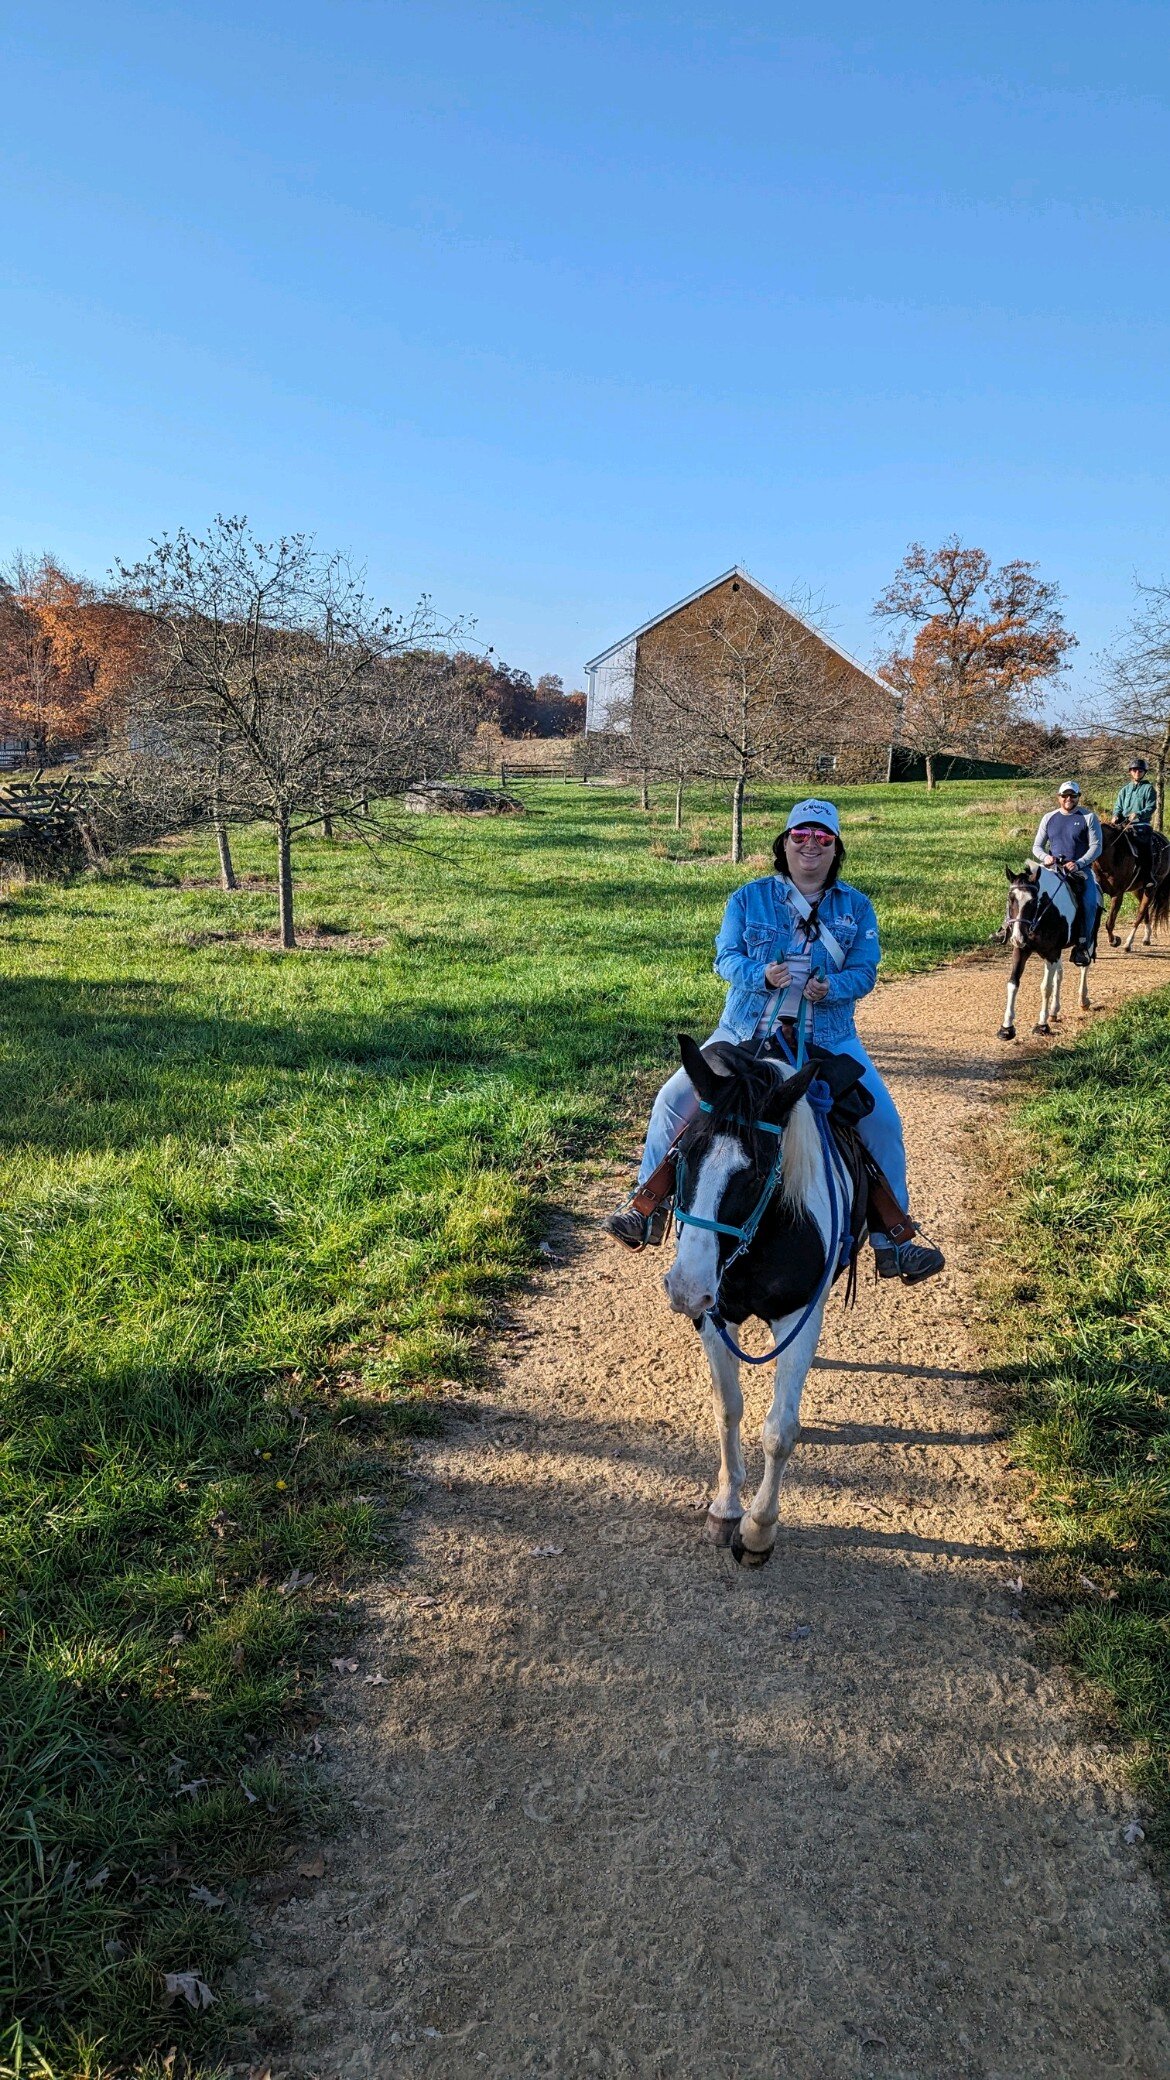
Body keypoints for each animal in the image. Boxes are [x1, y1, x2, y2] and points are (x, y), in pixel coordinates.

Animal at [662, 1031, 853, 1564]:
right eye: (683, 1153)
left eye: (754, 1173)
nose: (685, 1288)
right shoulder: (715, 1316)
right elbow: (728, 1408)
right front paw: (727, 1508)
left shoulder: (799, 1318)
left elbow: (780, 1431)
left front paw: (758, 1530)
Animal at [990, 861, 1090, 1040]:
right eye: (1010, 898)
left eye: (1033, 901)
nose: (1017, 937)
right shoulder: (1022, 950)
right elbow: (1013, 983)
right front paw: (1006, 1027)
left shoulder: (1051, 953)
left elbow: (1046, 987)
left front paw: (1042, 1025)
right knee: (1059, 975)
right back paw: (1054, 1011)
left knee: (1085, 966)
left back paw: (1083, 1000)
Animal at [1090, 819, 1165, 956]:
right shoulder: (1099, 892)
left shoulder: (1118, 894)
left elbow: (1109, 923)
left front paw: (1115, 941)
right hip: (1138, 890)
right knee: (1145, 911)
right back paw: (1146, 938)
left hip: (1151, 889)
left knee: (1140, 913)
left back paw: (1128, 944)